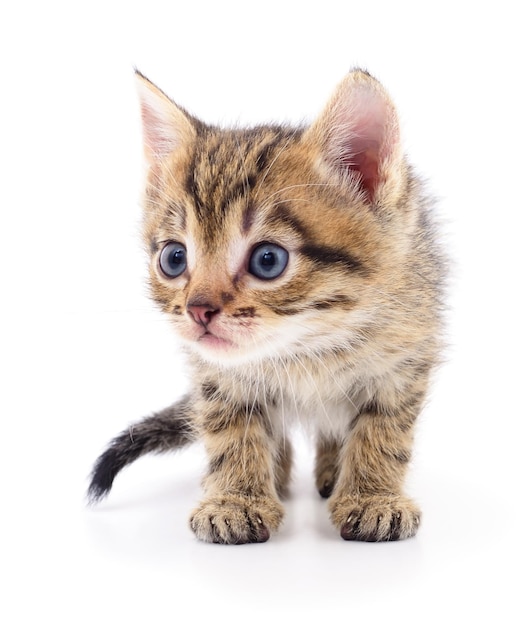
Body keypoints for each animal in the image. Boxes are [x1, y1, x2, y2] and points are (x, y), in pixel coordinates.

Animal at [88, 68, 444, 540]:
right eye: (174, 258)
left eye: (268, 260)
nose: (198, 310)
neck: (308, 347)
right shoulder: (217, 376)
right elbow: (230, 429)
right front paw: (236, 498)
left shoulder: (404, 359)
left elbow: (384, 429)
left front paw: (373, 497)